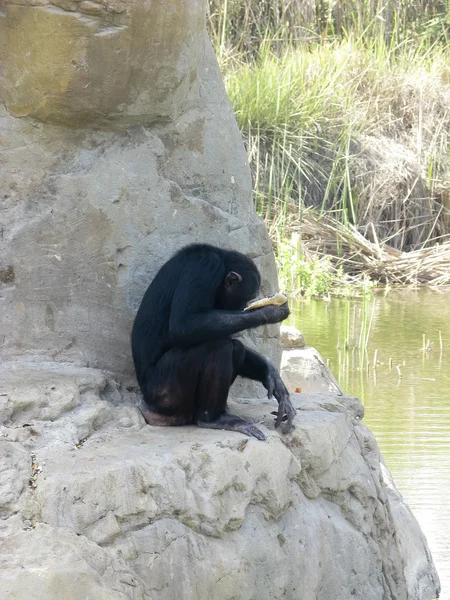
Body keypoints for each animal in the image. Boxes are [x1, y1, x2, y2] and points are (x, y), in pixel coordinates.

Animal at [132, 244, 298, 440]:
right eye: (247, 298)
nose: (244, 306)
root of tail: (146, 405)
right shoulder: (205, 268)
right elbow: (185, 323)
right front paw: (270, 311)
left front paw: (272, 377)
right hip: (164, 394)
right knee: (217, 345)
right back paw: (214, 419)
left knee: (236, 348)